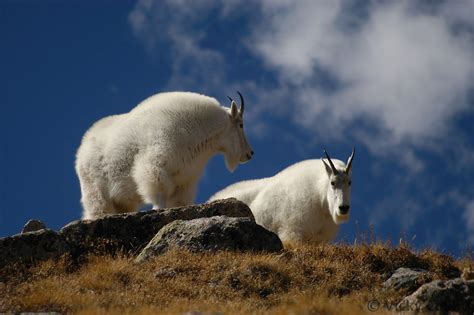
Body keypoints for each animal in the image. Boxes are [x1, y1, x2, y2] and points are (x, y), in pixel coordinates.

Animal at [76, 91, 254, 220]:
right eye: (241, 125)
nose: (250, 153)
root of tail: (81, 151)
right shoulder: (155, 165)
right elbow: (159, 192)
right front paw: (157, 210)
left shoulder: (185, 180)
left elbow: (178, 201)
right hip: (94, 190)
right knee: (97, 209)